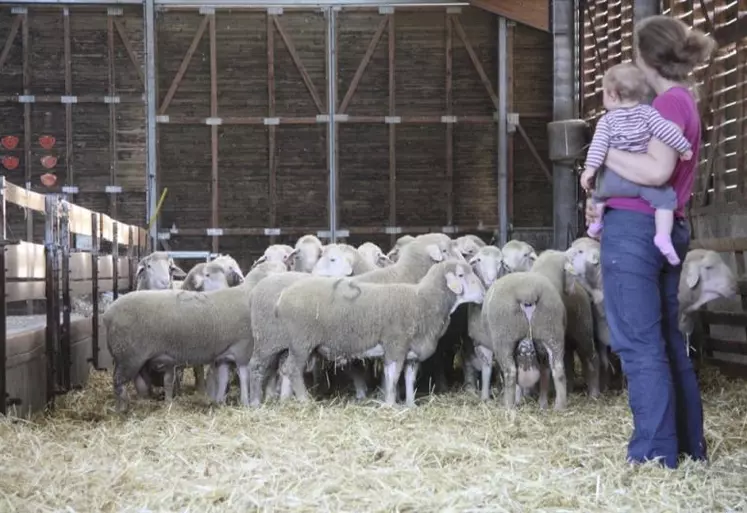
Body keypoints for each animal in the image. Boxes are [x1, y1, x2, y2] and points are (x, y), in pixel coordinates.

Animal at [105, 260, 290, 412]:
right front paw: (245, 402)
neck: (250, 292)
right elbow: (245, 375)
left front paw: (219, 402)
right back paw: (121, 410)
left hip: (131, 358)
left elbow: (223, 378)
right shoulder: (243, 347)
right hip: (128, 356)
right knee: (118, 382)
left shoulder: (225, 353)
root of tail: (108, 313)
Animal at [253, 258, 486, 406]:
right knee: (289, 369)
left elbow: (408, 378)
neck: (423, 300)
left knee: (275, 368)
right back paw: (302, 401)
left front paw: (410, 405)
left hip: (282, 343)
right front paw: (390, 404)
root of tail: (283, 296)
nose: (484, 293)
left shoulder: (411, 353)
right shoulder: (395, 345)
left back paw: (269, 401)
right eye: (461, 275)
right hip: (298, 341)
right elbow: (393, 376)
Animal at [462, 245, 508, 400]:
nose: (491, 279)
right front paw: (485, 397)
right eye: (479, 260)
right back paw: (470, 387)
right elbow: (486, 369)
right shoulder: (481, 342)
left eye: (501, 261)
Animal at [486, 270, 568, 410]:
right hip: (551, 331)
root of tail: (527, 291)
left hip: (504, 338)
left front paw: (517, 400)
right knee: (557, 369)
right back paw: (558, 406)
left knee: (510, 372)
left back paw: (508, 406)